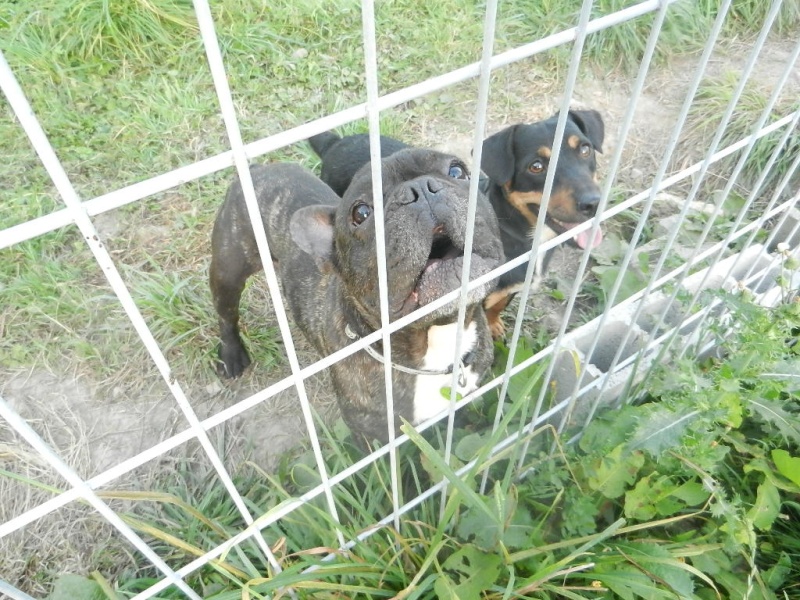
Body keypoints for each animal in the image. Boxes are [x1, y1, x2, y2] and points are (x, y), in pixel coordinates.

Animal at [209, 148, 504, 442]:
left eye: (457, 171)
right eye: (361, 213)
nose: (420, 189)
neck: (436, 339)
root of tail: (256, 169)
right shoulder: (371, 435)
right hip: (228, 271)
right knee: (226, 314)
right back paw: (232, 357)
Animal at [308, 109, 608, 338]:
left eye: (585, 149)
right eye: (536, 167)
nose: (593, 202)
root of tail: (334, 142)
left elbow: (498, 306)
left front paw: (496, 324)